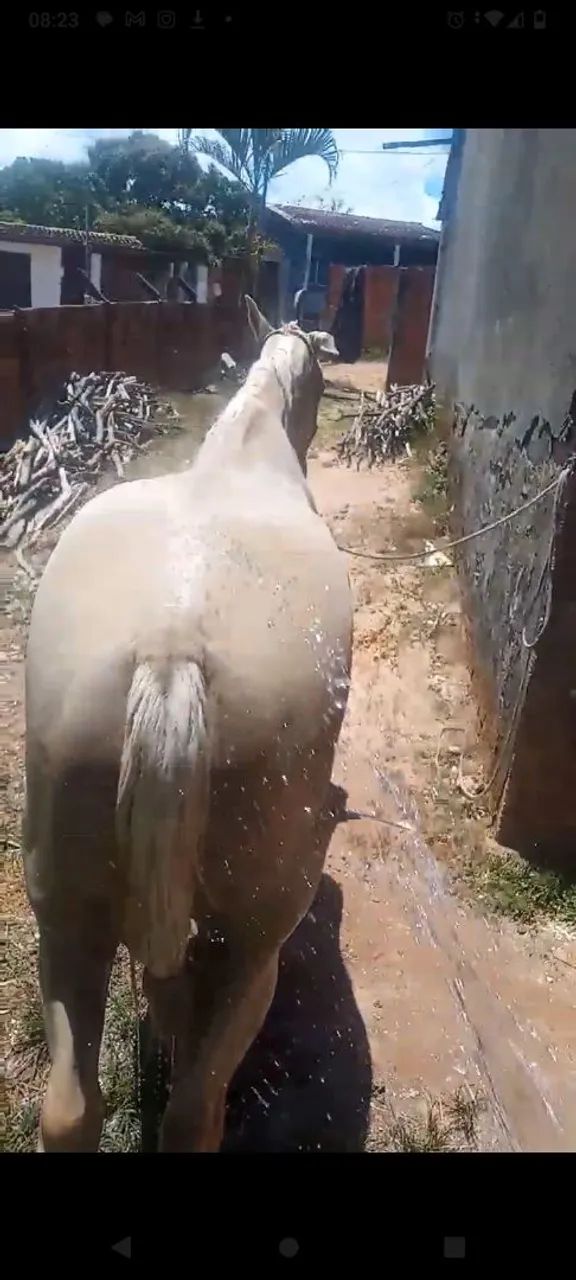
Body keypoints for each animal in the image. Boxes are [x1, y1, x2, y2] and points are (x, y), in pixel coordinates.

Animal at [22, 297, 353, 1151]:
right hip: (253, 941)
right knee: (196, 1109)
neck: (243, 456)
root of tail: (170, 647)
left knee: (69, 1109)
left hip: (63, 912)